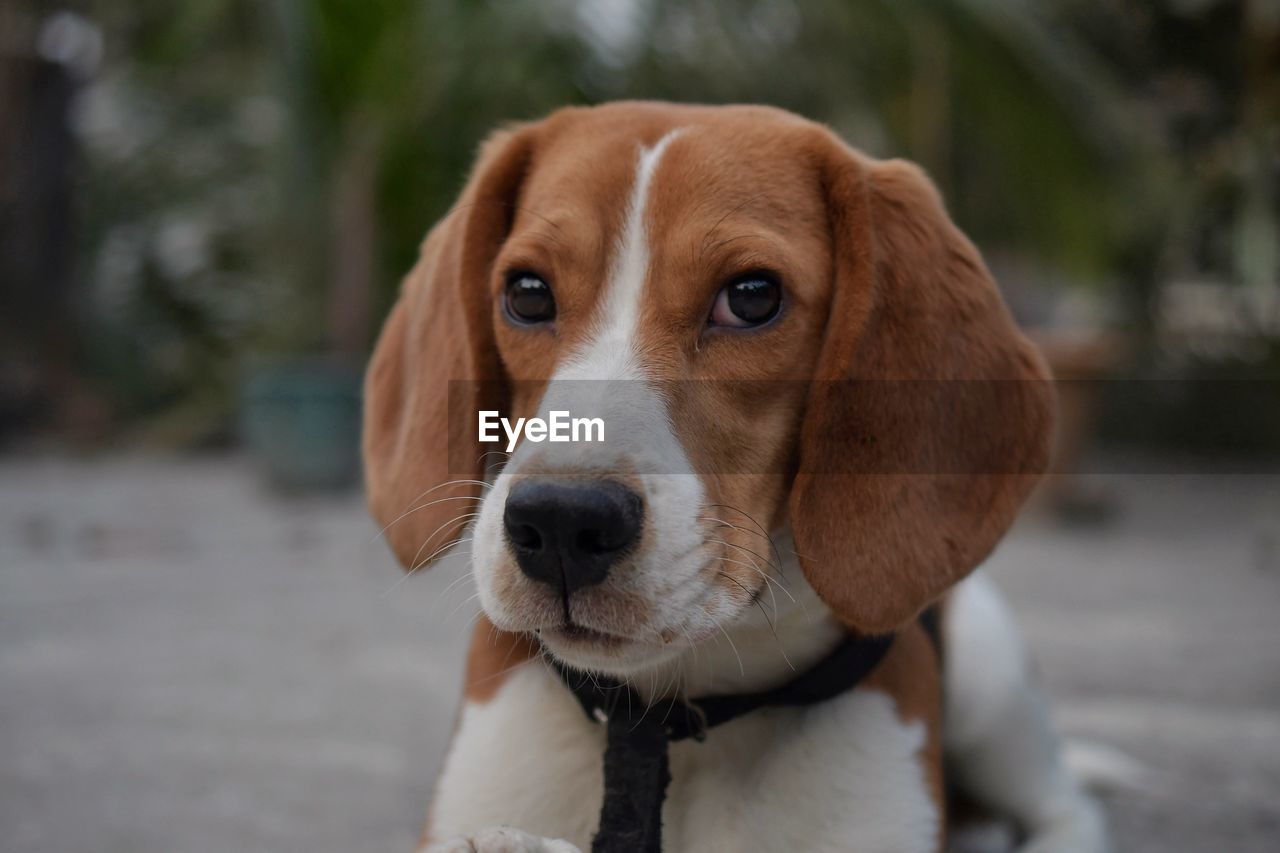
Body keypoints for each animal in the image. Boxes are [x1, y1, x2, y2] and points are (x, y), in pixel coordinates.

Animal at [363, 101, 1111, 850]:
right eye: (525, 292)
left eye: (752, 297)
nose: (560, 520)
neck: (675, 713)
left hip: (993, 684)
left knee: (1067, 810)